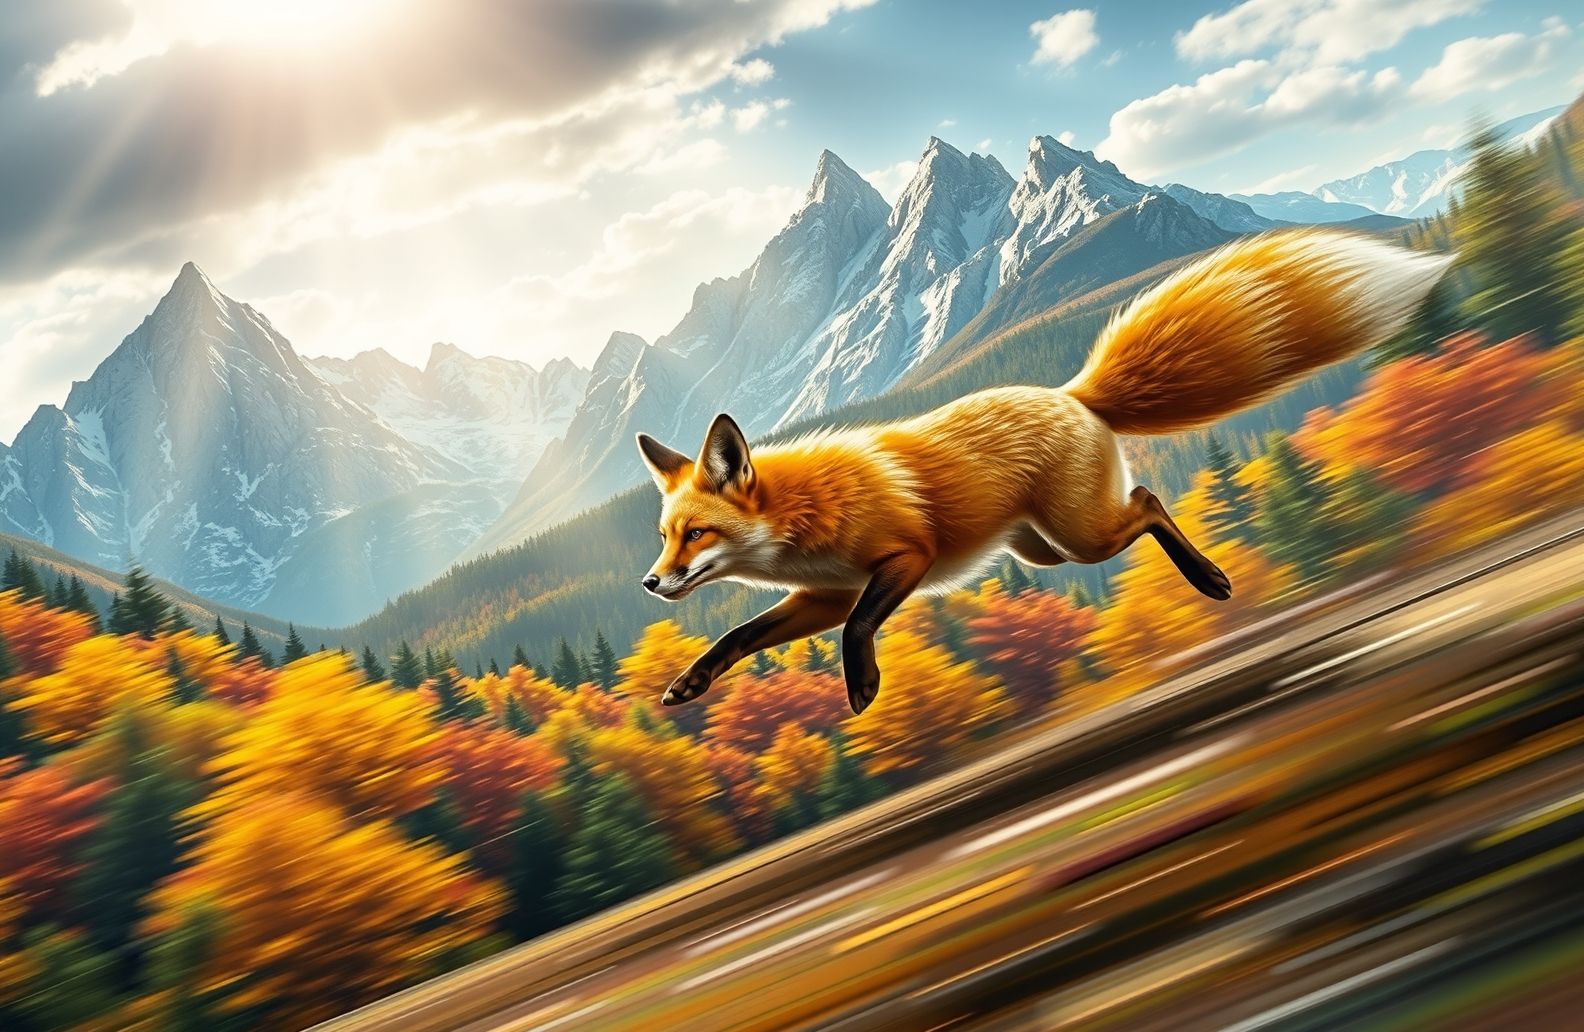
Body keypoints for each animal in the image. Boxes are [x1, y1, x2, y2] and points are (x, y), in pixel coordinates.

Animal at [636, 229, 1453, 716]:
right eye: (665, 534)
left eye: (695, 534)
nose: (649, 581)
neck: (805, 518)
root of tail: (1072, 393)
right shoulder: (823, 595)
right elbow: (737, 636)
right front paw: (690, 682)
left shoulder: (905, 559)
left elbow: (861, 626)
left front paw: (862, 684)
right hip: (1041, 551)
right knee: (1136, 506)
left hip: (1081, 537)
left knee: (1149, 500)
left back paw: (1209, 579)